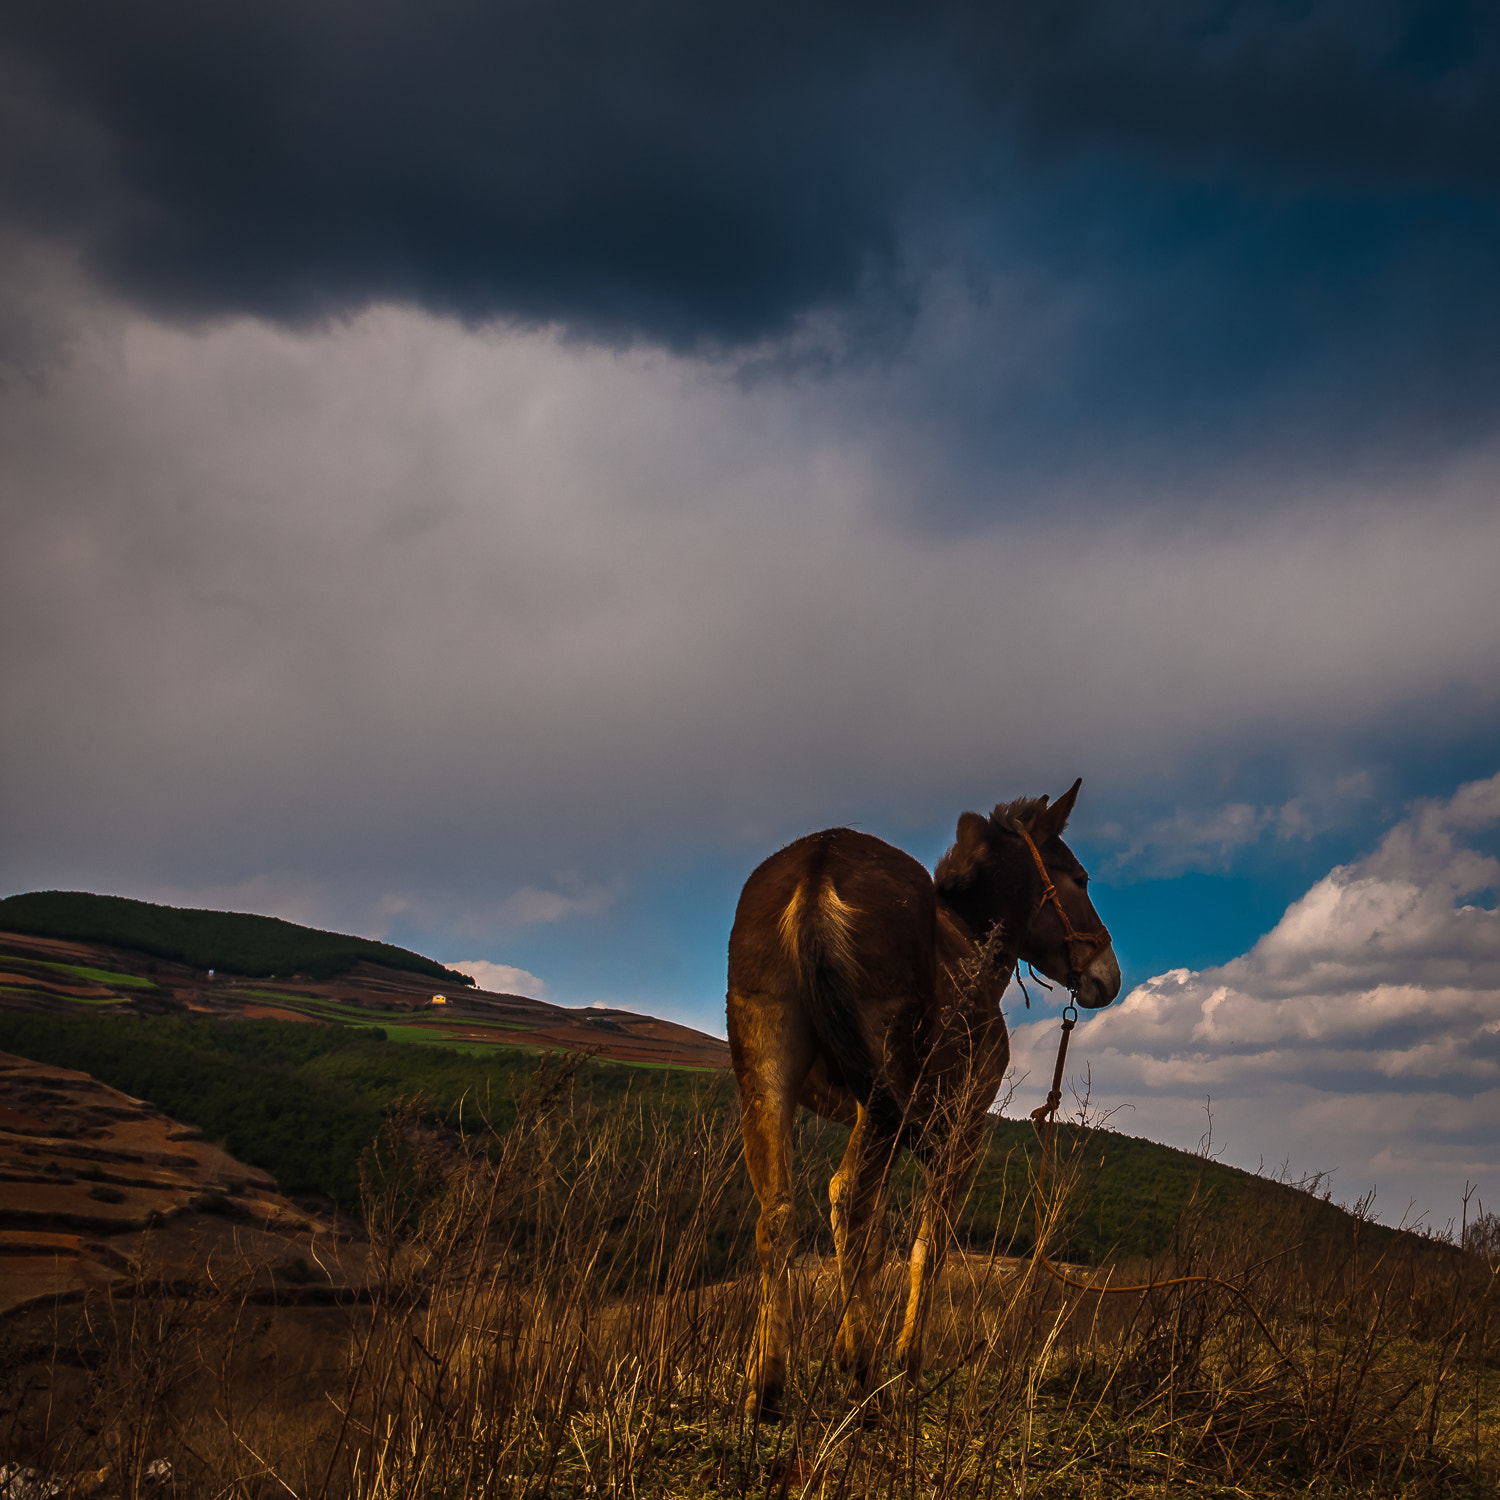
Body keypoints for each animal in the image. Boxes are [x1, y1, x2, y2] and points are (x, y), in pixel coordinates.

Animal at [726, 779, 1120, 1417]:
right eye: (1080, 880)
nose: (1107, 976)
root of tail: (817, 867)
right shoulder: (962, 1129)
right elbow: (928, 1244)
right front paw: (906, 1365)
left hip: (767, 1075)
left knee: (778, 1215)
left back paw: (767, 1385)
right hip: (884, 1089)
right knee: (848, 1198)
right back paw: (863, 1375)